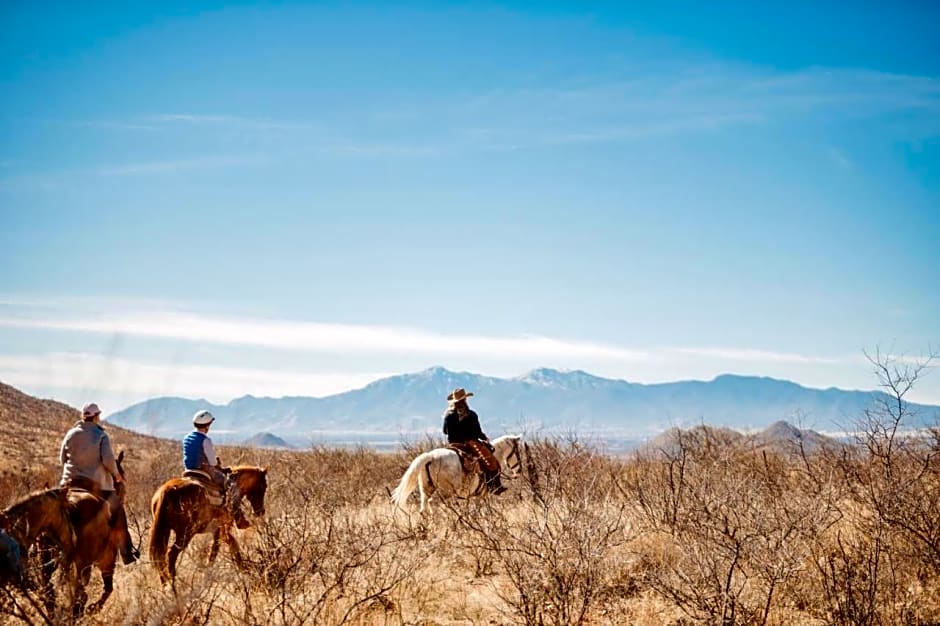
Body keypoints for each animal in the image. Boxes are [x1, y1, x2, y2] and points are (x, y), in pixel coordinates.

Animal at [390, 434, 520, 512]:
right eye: (518, 452)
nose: (519, 471)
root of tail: (430, 457)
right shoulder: (483, 494)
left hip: (426, 490)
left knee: (424, 509)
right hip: (446, 492)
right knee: (436, 506)